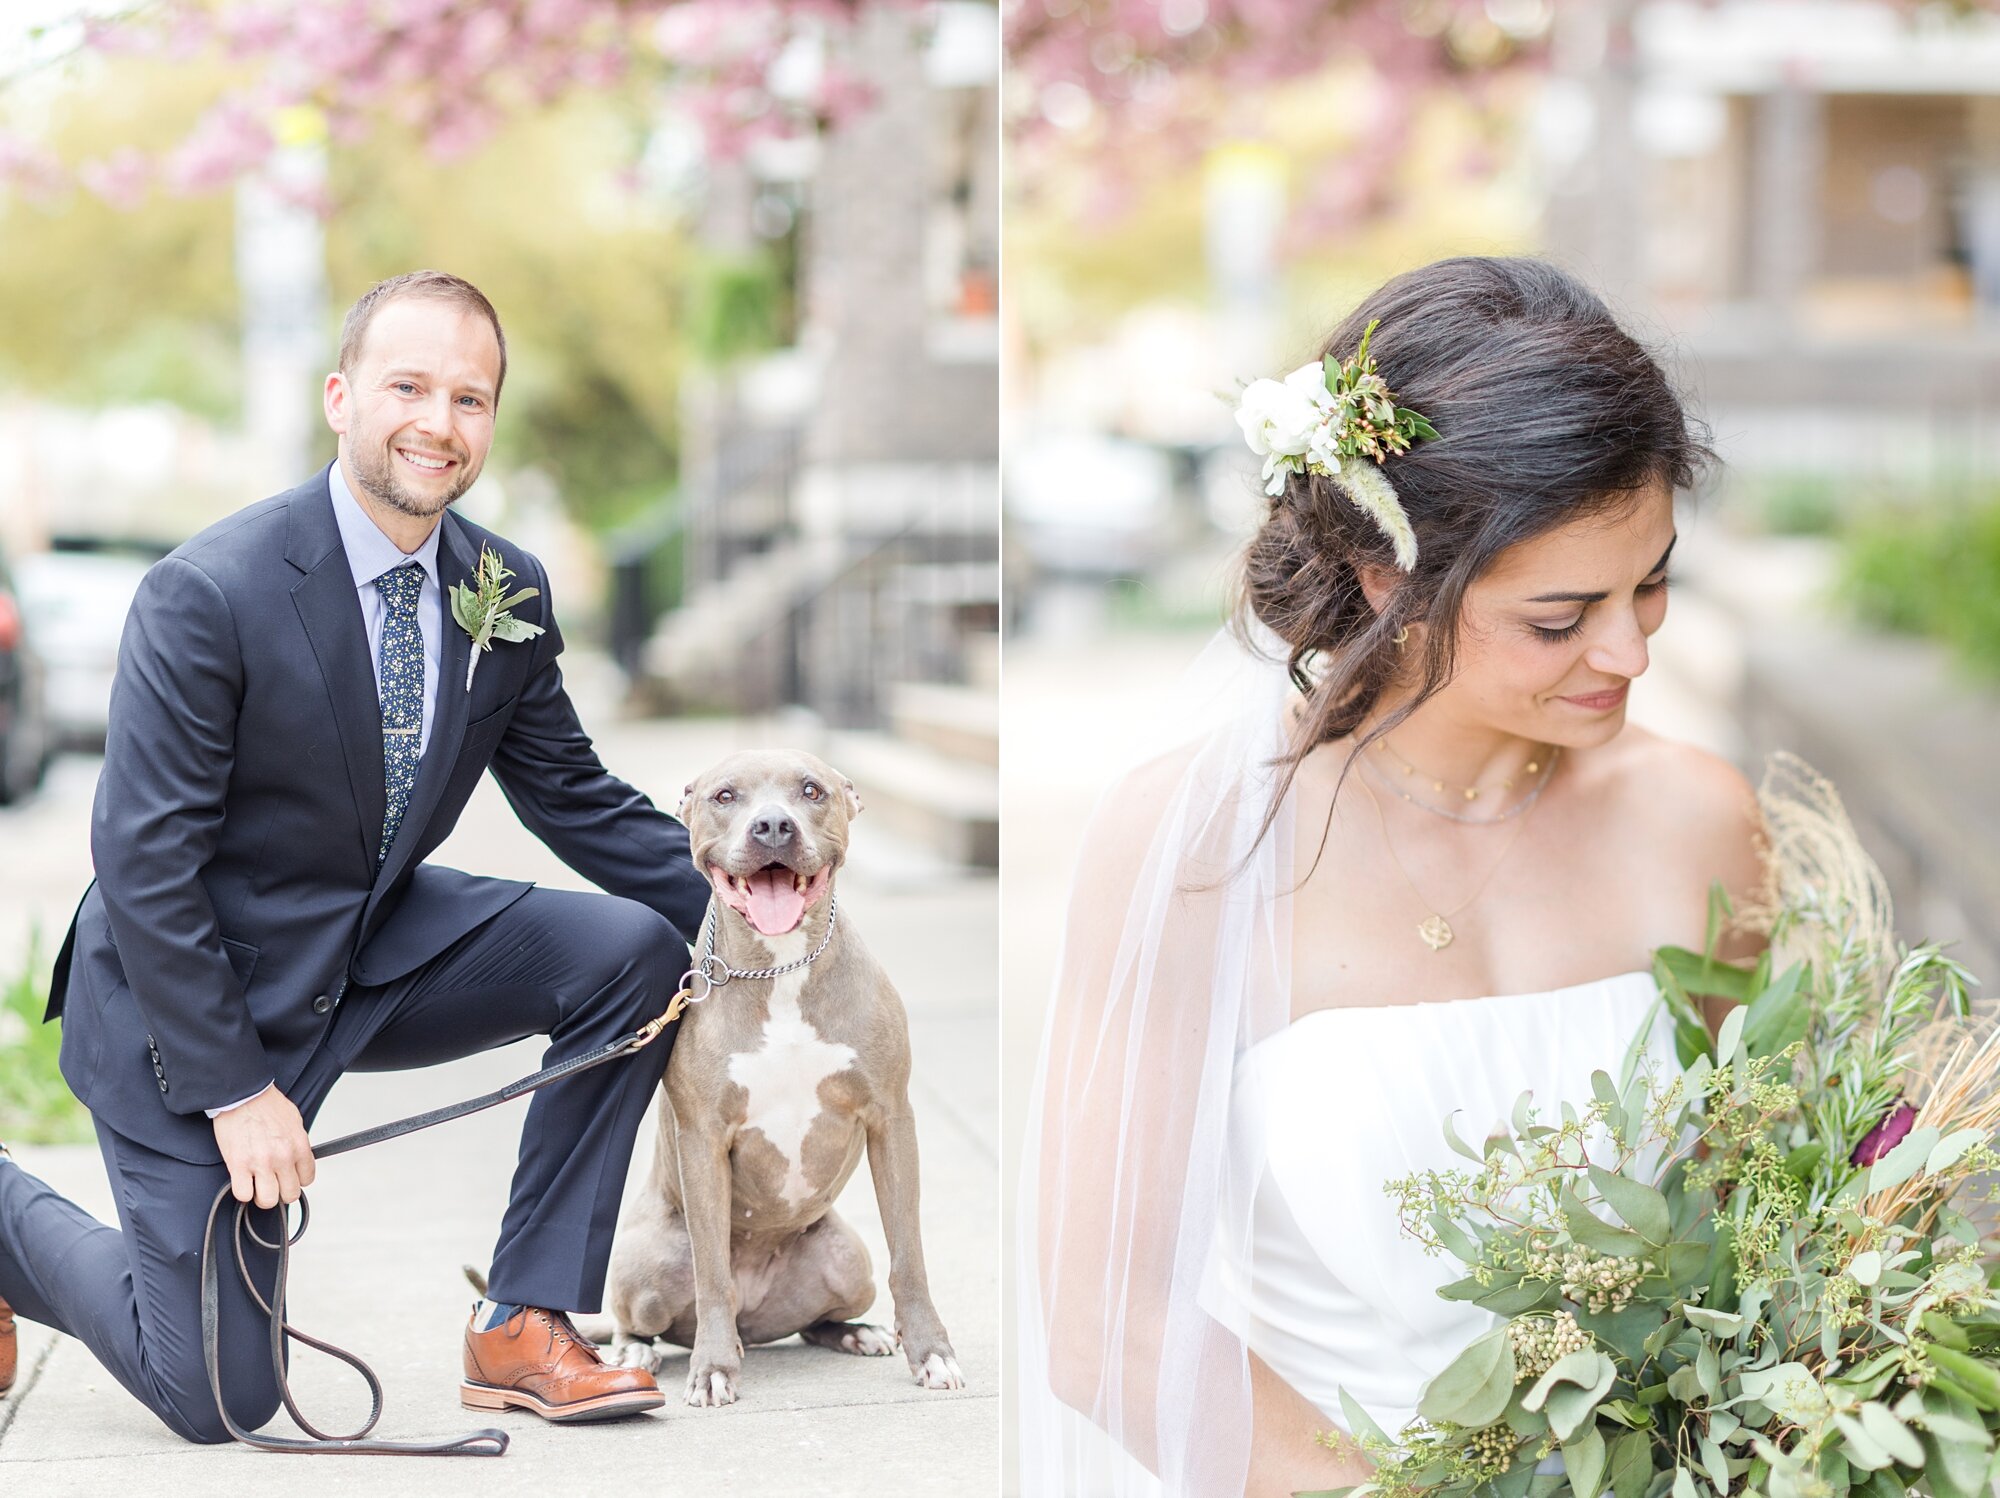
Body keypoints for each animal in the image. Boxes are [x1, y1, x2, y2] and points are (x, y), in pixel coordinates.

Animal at [596, 748, 964, 1400]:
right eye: (724, 796)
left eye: (812, 790)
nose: (771, 826)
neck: (781, 968)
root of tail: (757, 1318)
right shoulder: (702, 1139)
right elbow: (713, 1273)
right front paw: (714, 1369)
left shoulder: (891, 1118)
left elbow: (910, 1256)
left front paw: (930, 1354)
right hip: (647, 1264)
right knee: (639, 1316)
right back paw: (635, 1351)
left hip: (848, 1259)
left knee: (822, 1317)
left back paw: (857, 1332)